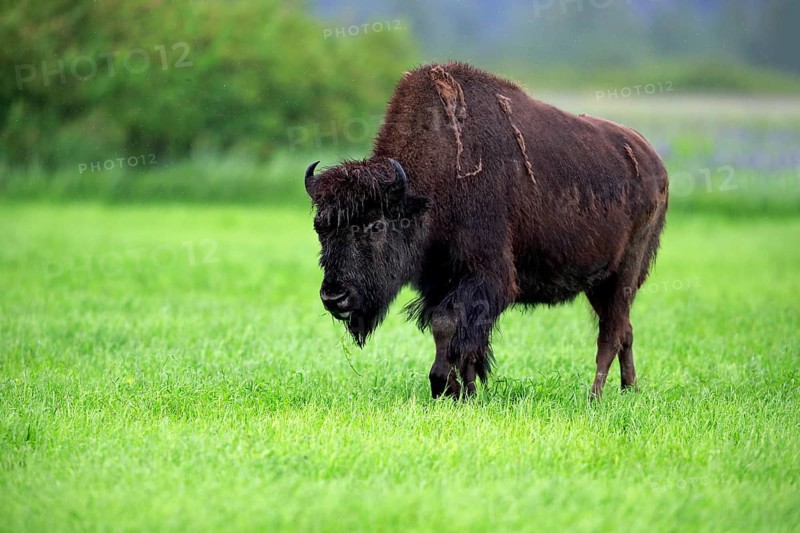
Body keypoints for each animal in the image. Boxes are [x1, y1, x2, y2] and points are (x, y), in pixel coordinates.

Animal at [305, 62, 668, 399]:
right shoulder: (440, 281)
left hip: (623, 275)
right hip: (600, 283)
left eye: (376, 225)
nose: (334, 296)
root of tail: (655, 162)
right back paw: (629, 389)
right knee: (625, 330)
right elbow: (457, 337)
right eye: (320, 228)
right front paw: (466, 392)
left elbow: (449, 327)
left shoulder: (485, 277)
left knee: (610, 333)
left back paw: (594, 397)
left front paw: (444, 386)